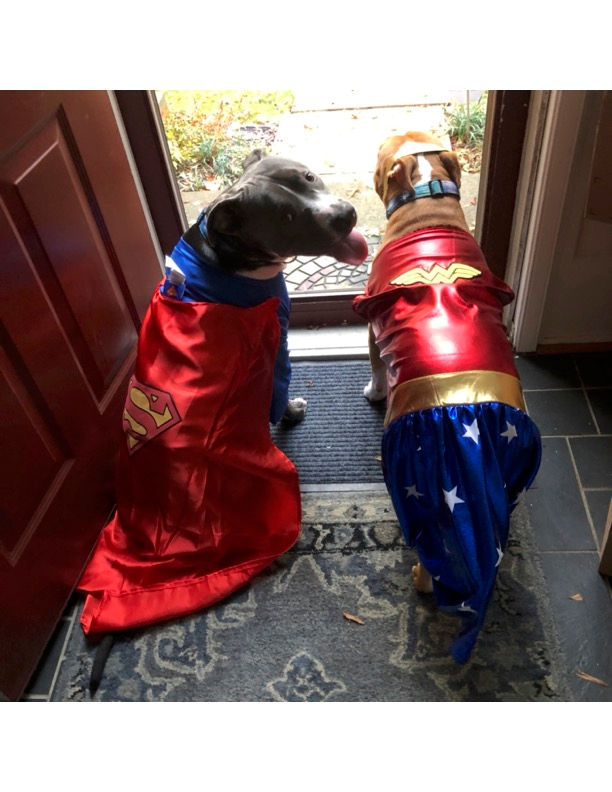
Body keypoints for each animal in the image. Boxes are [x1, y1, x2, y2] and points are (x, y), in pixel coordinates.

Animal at [79, 150, 369, 691]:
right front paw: (292, 412)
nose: (345, 216)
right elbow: (280, 395)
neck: (220, 258)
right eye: (287, 217)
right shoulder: (276, 344)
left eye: (309, 177)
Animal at [353, 131, 542, 663]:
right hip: (510, 477)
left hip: (416, 486)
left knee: (430, 551)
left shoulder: (372, 329)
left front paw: (374, 390)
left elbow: (376, 366)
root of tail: (468, 418)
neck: (426, 197)